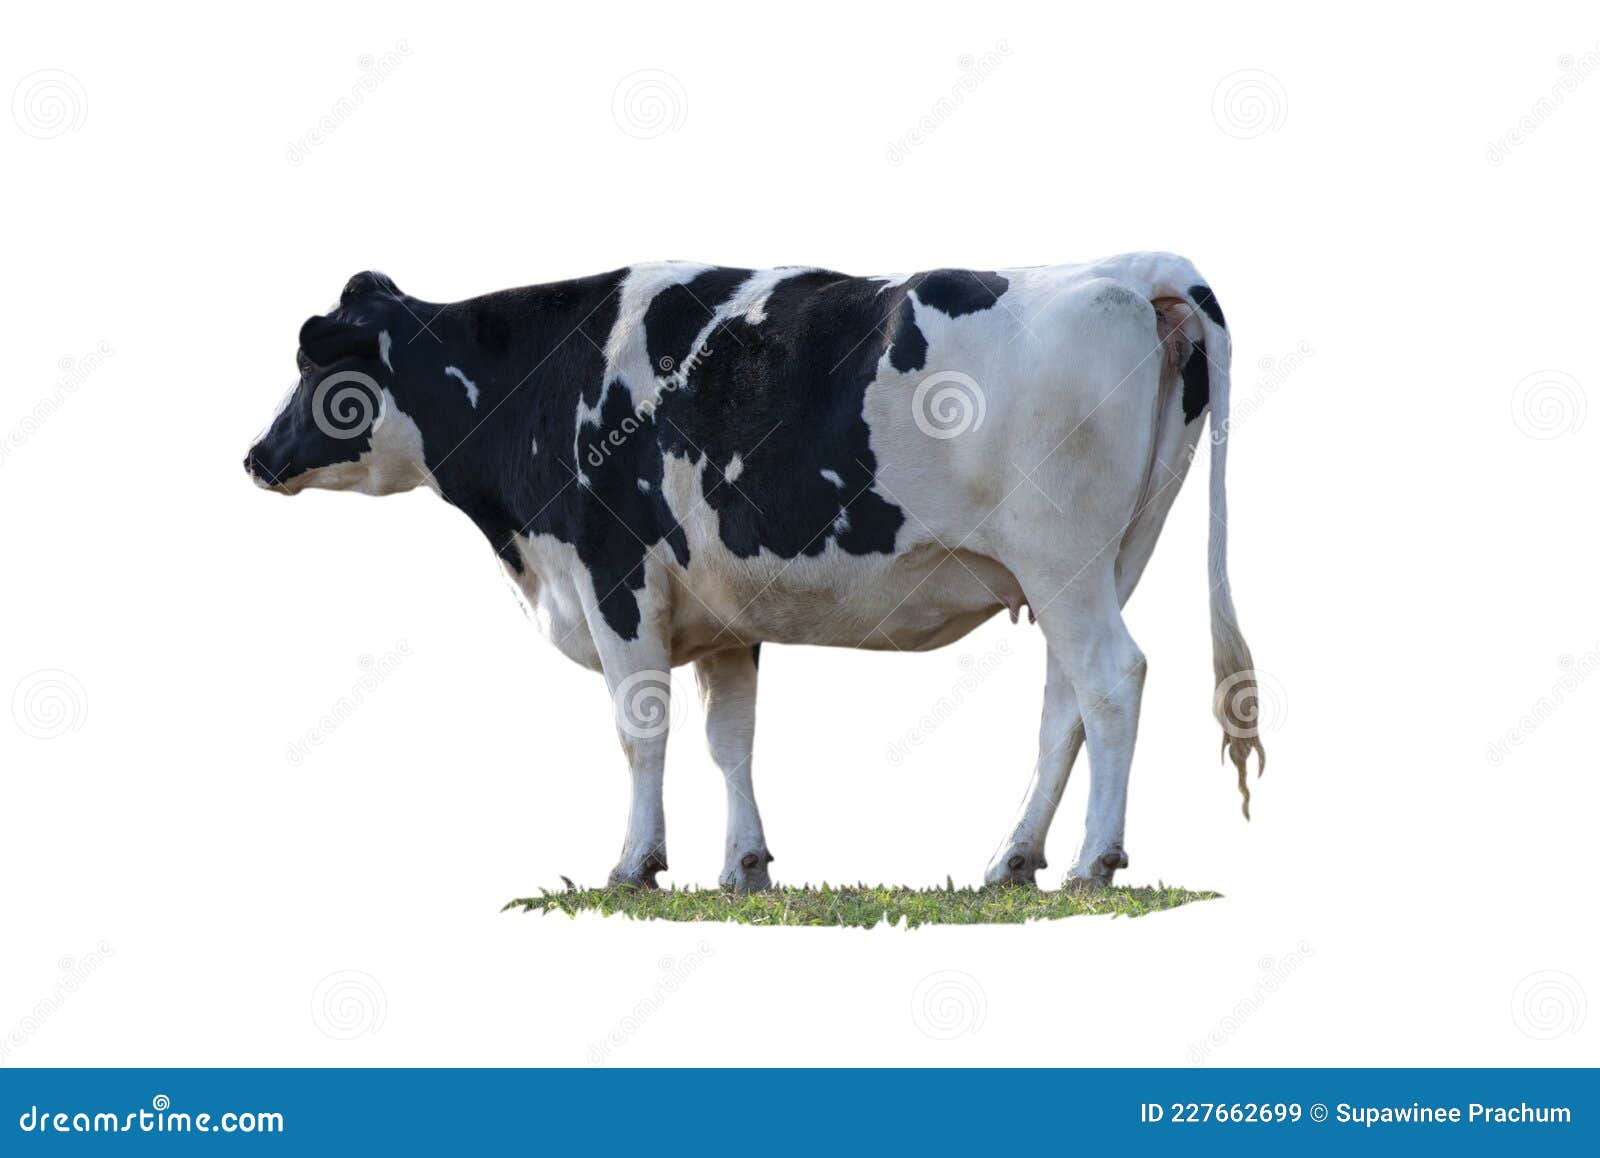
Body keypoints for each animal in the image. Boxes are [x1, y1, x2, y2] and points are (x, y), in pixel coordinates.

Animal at [245, 253, 1263, 891]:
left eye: (314, 365)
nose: (255, 456)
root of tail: (1133, 270)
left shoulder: (615, 576)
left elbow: (641, 731)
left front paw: (635, 865)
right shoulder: (724, 613)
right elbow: (729, 739)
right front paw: (744, 868)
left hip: (1065, 559)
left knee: (1112, 678)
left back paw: (1095, 861)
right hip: (1103, 559)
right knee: (1066, 701)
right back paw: (1012, 861)